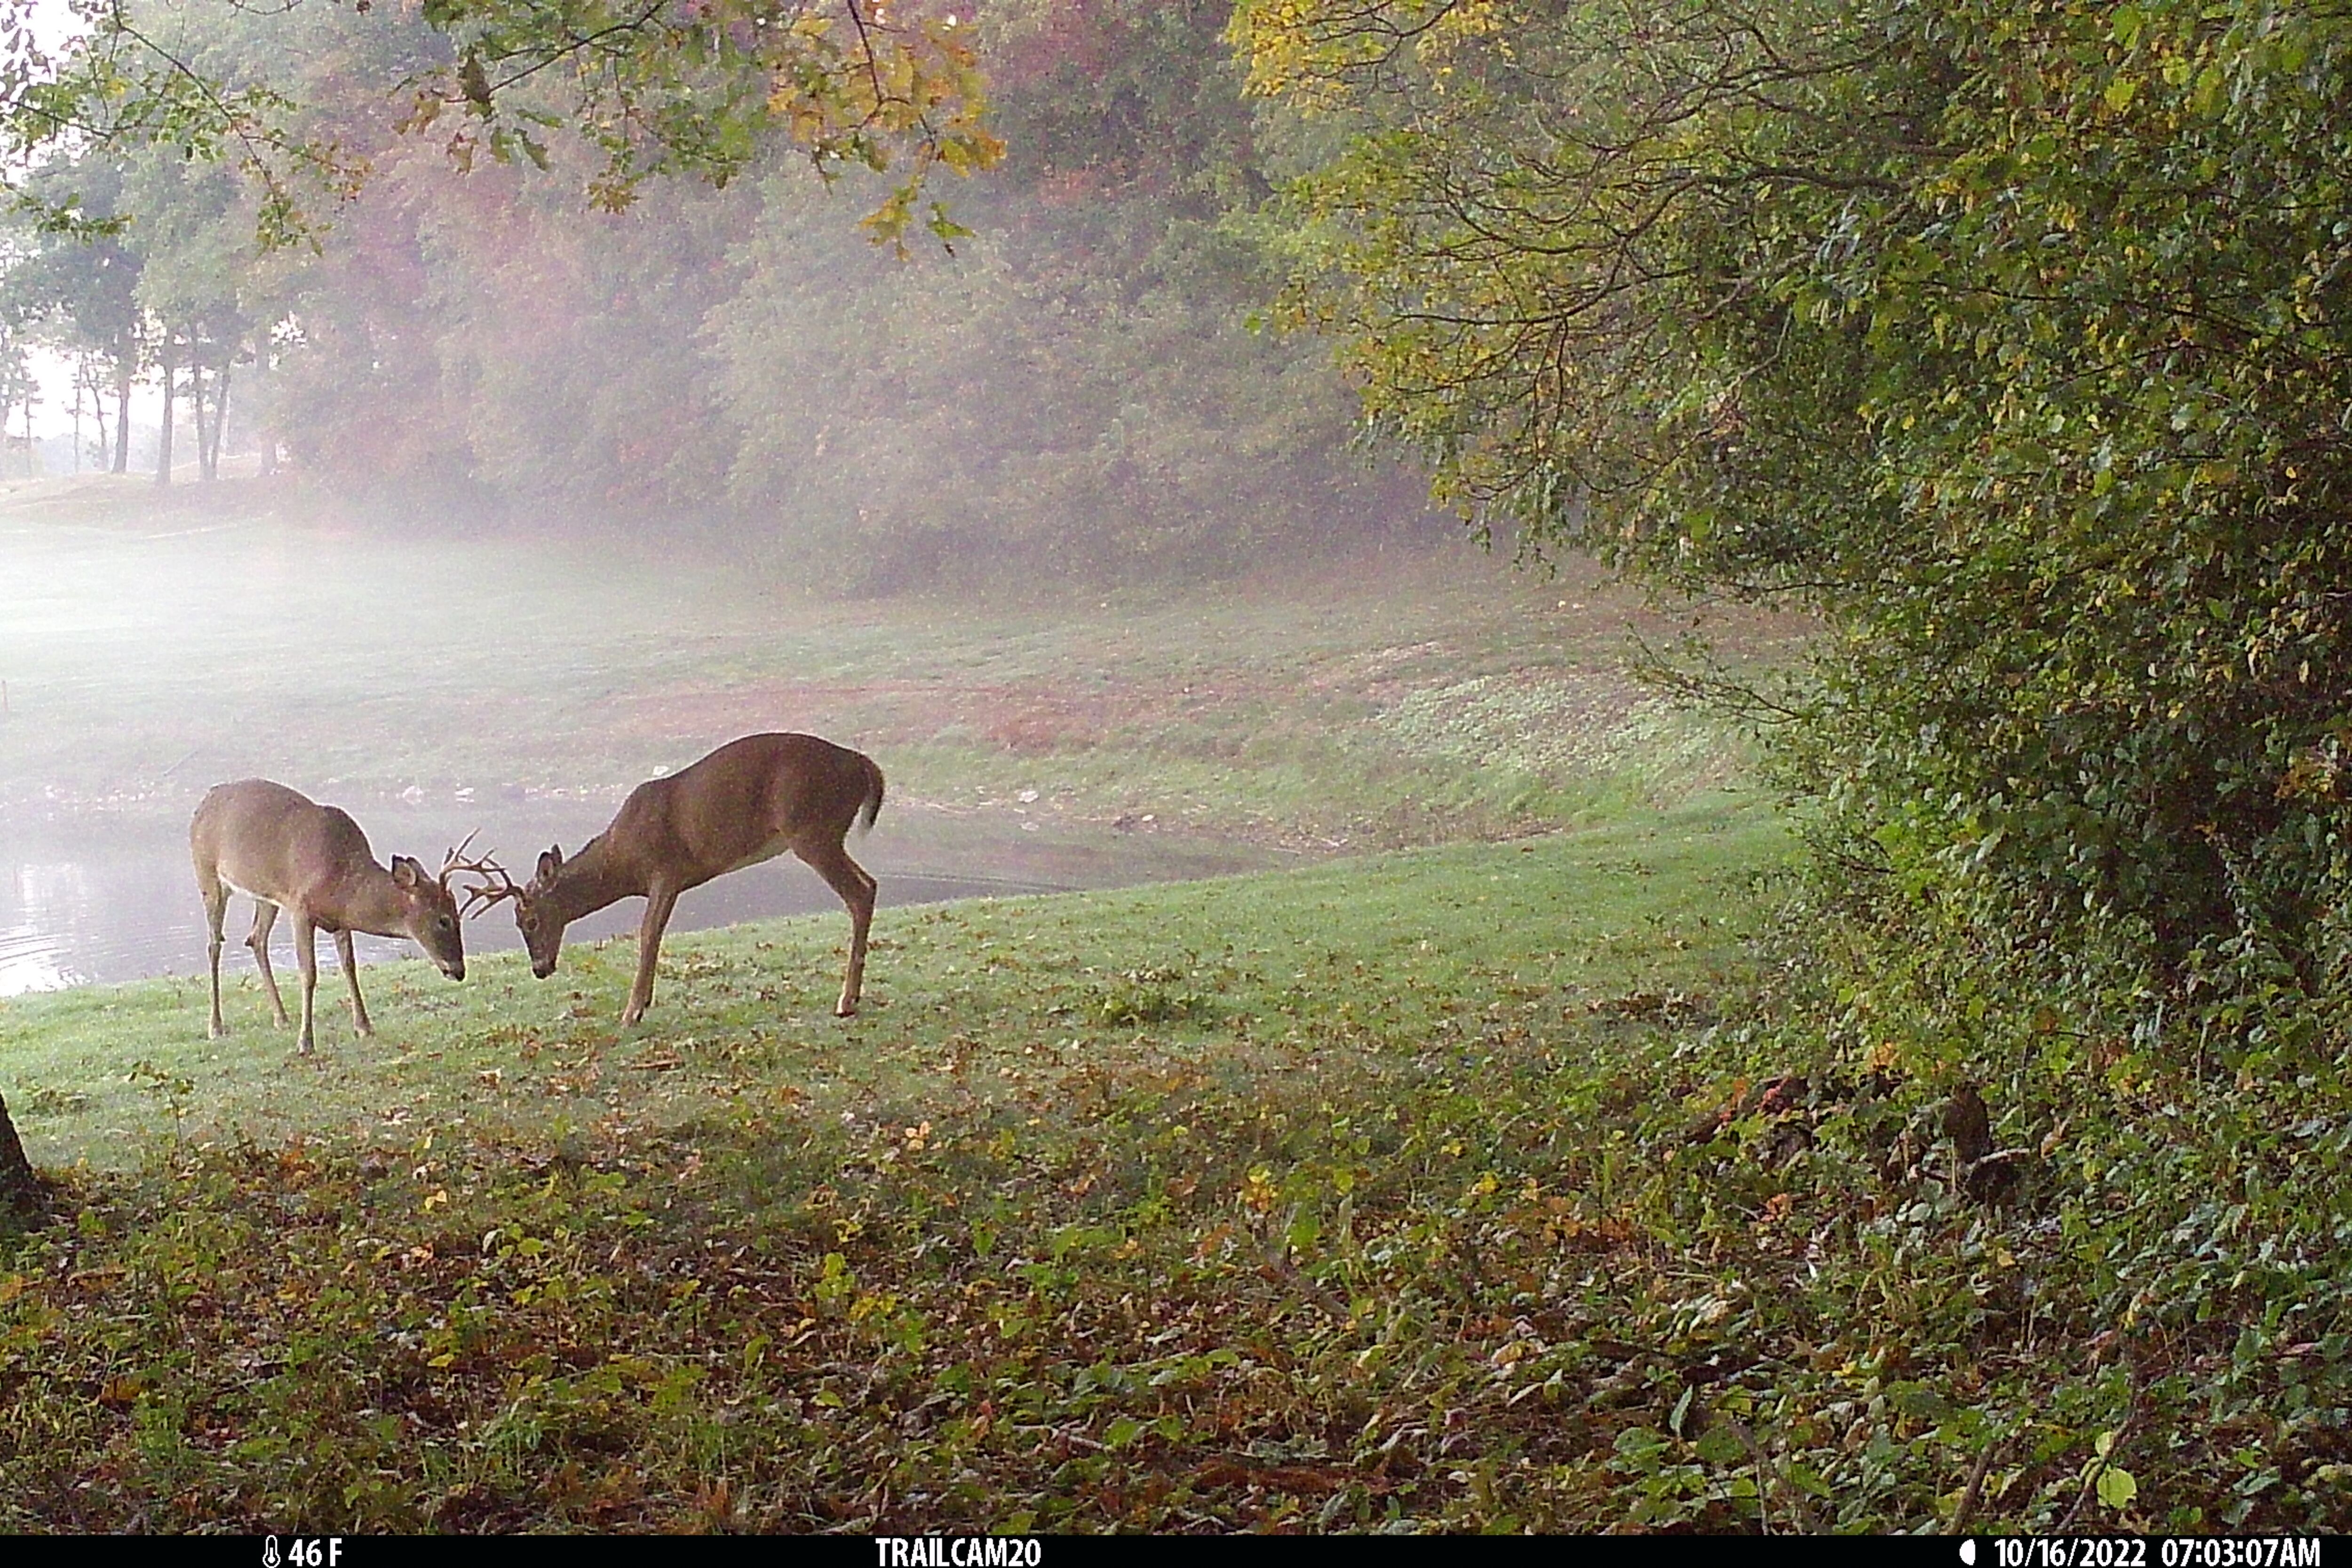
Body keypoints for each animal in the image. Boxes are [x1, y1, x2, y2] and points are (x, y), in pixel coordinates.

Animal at [191, 779, 500, 1054]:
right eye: (444, 919)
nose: (458, 971)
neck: (342, 879)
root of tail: (204, 801)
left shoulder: (339, 919)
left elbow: (350, 966)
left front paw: (364, 1027)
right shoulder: (300, 908)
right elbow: (309, 973)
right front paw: (306, 1043)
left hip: (265, 896)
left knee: (256, 939)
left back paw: (281, 1019)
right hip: (208, 875)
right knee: (214, 944)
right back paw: (216, 1027)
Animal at [467, 733, 884, 1025]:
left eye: (529, 920)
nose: (540, 969)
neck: (623, 859)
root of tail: (864, 765)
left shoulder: (667, 869)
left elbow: (648, 932)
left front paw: (632, 1011)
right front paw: (643, 1002)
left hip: (811, 829)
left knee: (859, 893)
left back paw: (846, 1002)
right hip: (827, 833)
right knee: (871, 884)